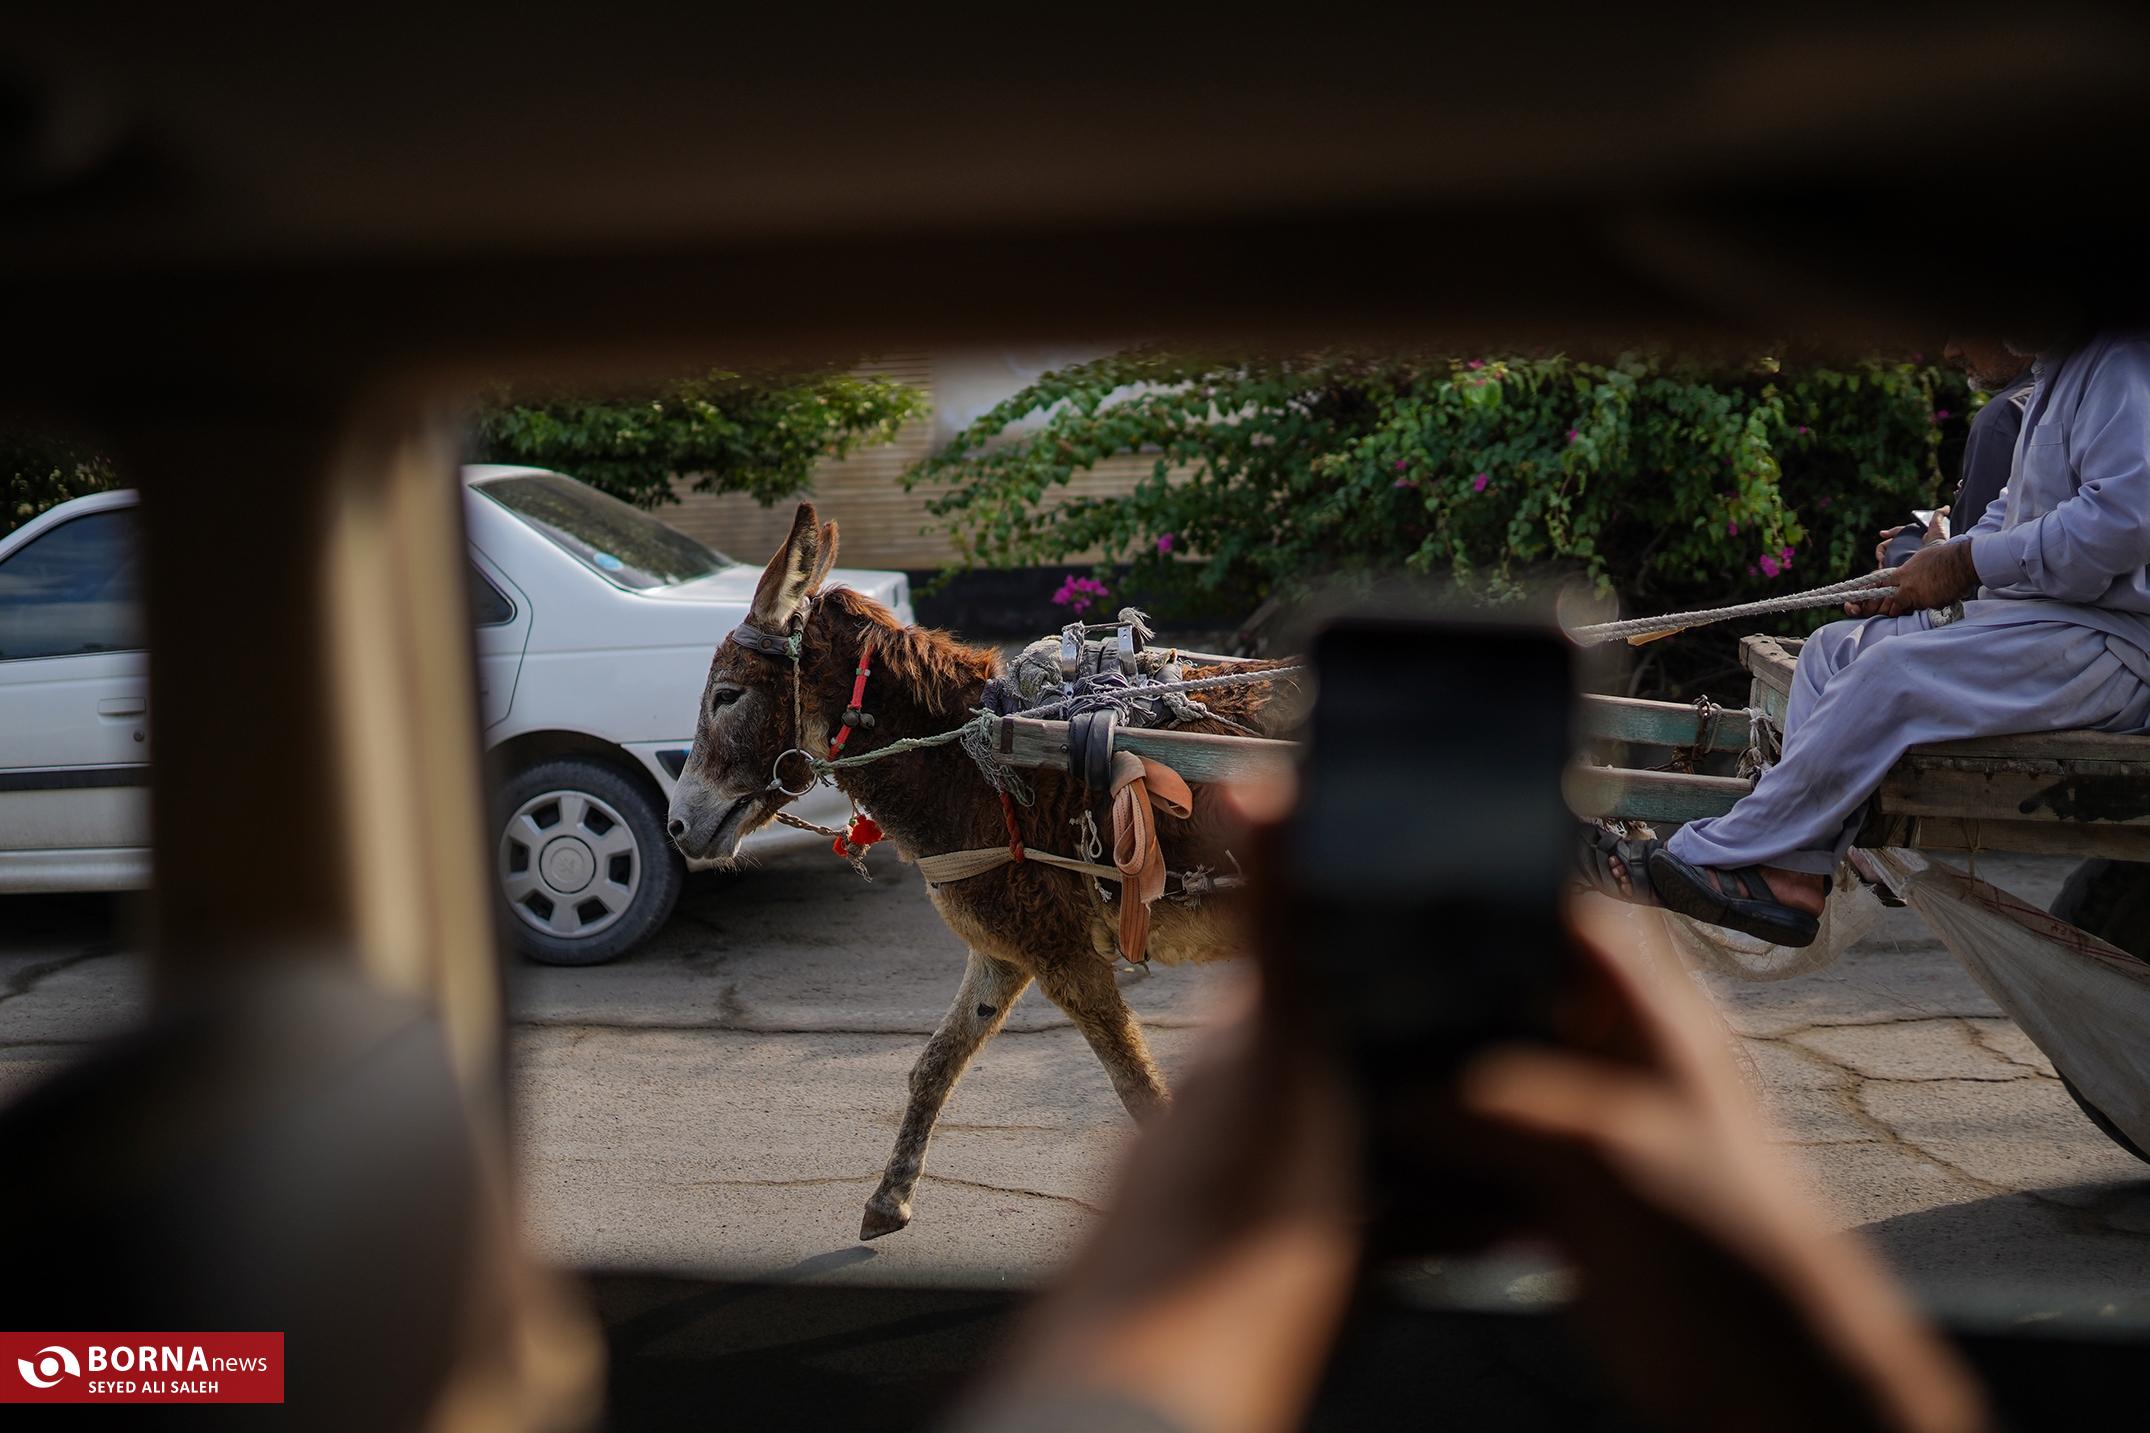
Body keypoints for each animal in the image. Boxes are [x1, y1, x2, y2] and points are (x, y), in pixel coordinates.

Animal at [667, 504, 1293, 1239]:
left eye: (727, 695)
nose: (678, 826)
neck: (972, 769)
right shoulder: (1002, 951)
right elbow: (935, 1063)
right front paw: (889, 1199)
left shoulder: (1062, 955)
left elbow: (1136, 1085)